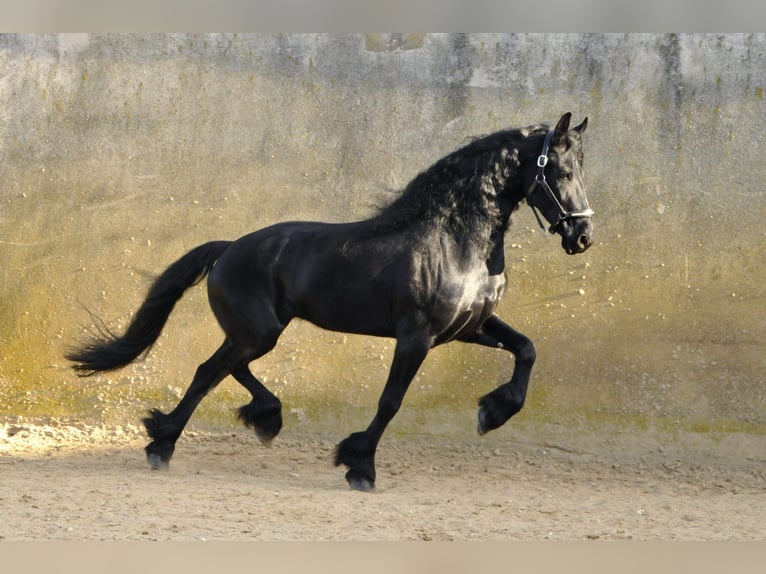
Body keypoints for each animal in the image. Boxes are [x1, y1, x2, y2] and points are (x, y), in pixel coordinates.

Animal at [67, 112, 594, 491]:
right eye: (562, 172)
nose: (583, 236)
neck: (456, 241)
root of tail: (228, 247)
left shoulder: (468, 328)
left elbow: (526, 349)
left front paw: (493, 413)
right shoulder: (417, 336)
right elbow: (391, 401)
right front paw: (359, 467)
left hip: (254, 332)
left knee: (216, 369)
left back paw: (215, 430)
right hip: (259, 332)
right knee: (213, 370)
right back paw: (193, 437)